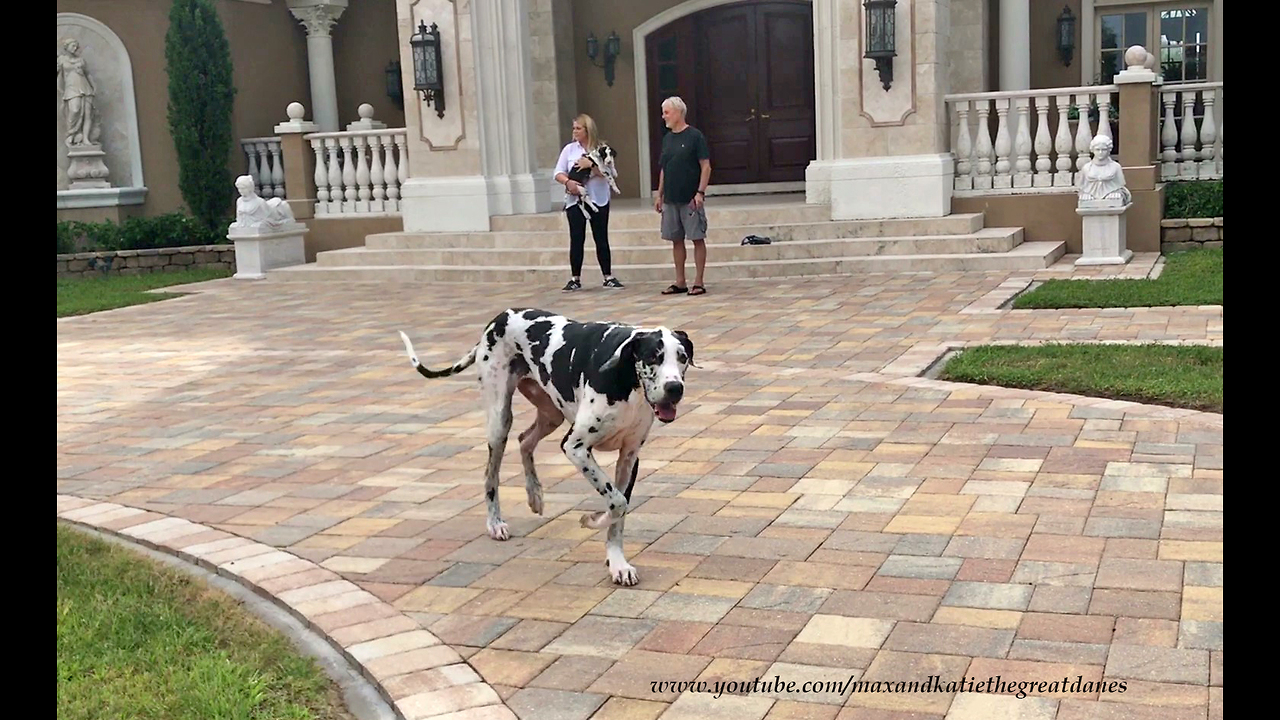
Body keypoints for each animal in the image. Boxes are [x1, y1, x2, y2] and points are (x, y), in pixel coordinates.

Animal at [401, 307, 696, 584]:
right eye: (653, 357)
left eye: (682, 357)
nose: (675, 388)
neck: (626, 380)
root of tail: (499, 317)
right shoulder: (575, 447)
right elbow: (616, 502)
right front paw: (591, 520)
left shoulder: (629, 456)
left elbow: (619, 511)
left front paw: (618, 563)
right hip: (499, 421)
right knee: (490, 474)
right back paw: (495, 523)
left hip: (551, 414)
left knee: (524, 441)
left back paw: (534, 494)